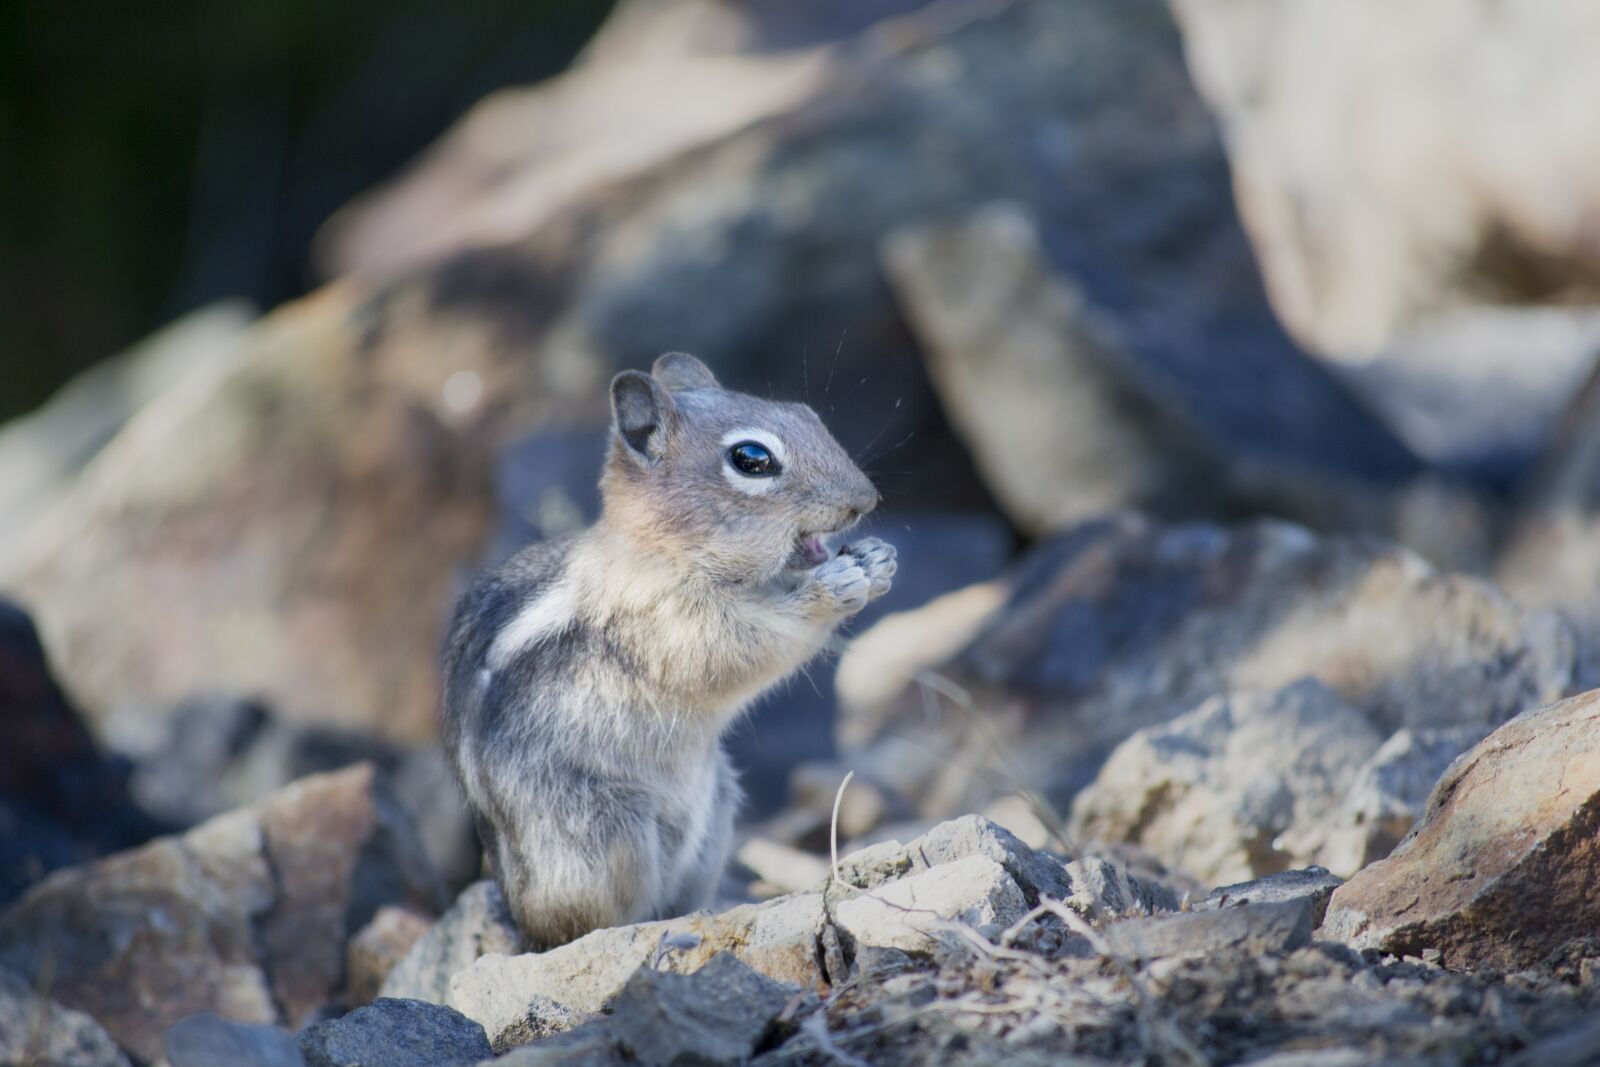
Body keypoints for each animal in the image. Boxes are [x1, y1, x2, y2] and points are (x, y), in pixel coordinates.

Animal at [441, 352, 895, 947]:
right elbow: (748, 647)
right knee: (594, 923)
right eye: (752, 460)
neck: (662, 553)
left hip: (718, 805)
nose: (866, 501)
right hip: (609, 832)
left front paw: (878, 559)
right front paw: (838, 585)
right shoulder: (671, 625)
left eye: (807, 413)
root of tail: (523, 922)